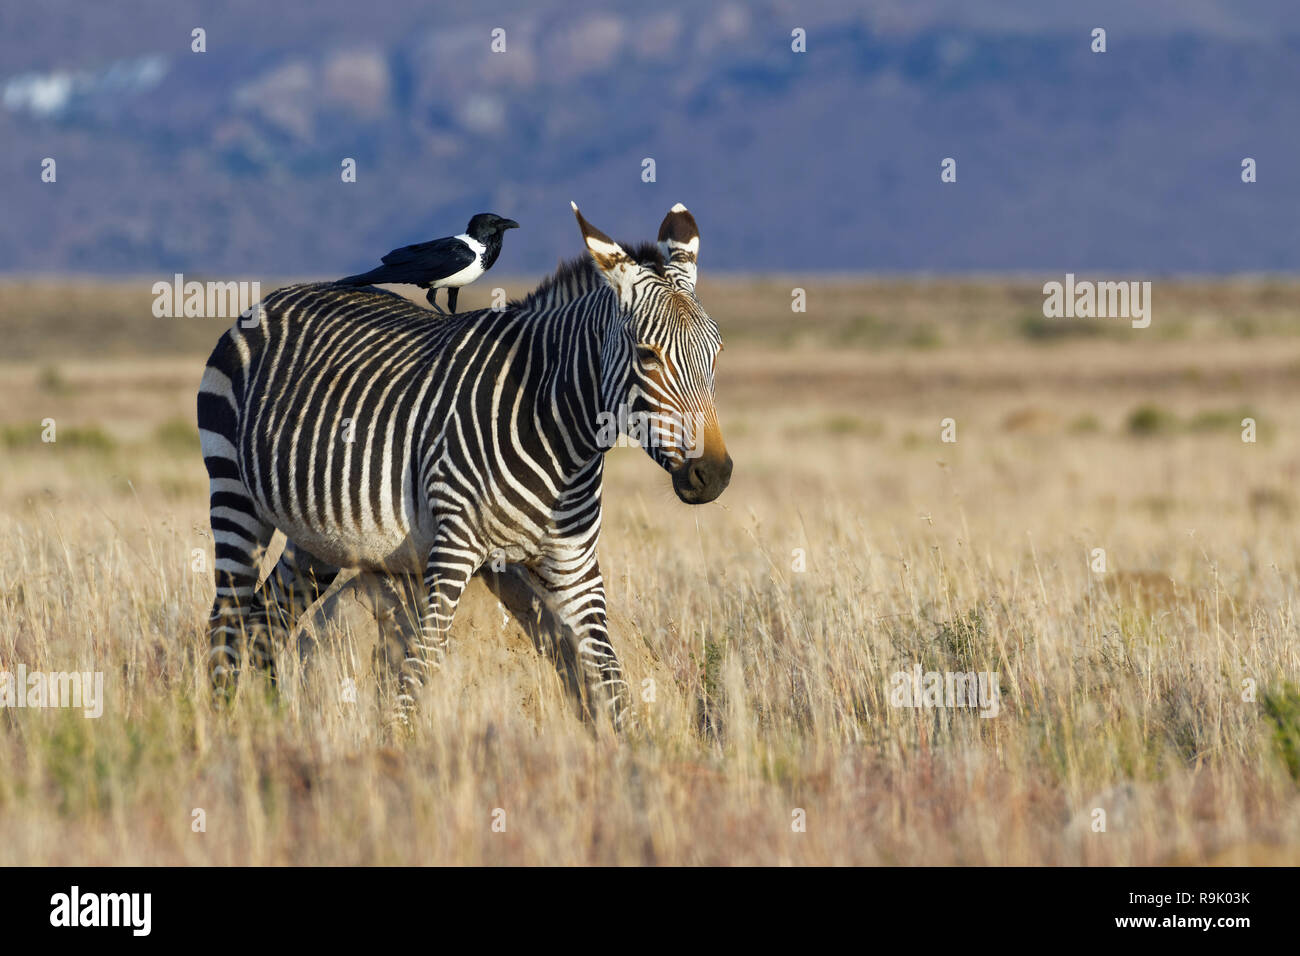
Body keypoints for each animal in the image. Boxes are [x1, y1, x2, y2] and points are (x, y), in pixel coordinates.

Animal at [198, 200, 738, 723]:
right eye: (648, 356)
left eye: (717, 351)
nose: (712, 475)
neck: (562, 439)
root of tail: (275, 296)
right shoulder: (453, 548)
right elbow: (421, 667)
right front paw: (397, 743)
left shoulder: (575, 562)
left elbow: (612, 674)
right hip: (234, 493)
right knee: (227, 618)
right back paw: (221, 725)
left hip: (318, 538)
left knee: (266, 619)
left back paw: (269, 720)